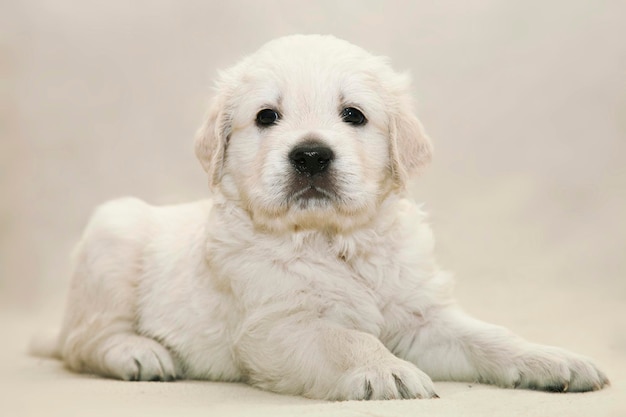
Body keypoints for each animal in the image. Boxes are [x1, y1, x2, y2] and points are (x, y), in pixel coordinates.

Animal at [30, 34, 608, 398]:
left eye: (353, 115)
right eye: (267, 116)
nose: (310, 155)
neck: (333, 240)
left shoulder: (423, 318)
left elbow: (488, 337)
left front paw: (553, 360)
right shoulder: (275, 326)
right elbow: (346, 337)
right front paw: (386, 371)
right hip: (113, 235)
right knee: (85, 342)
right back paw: (140, 353)